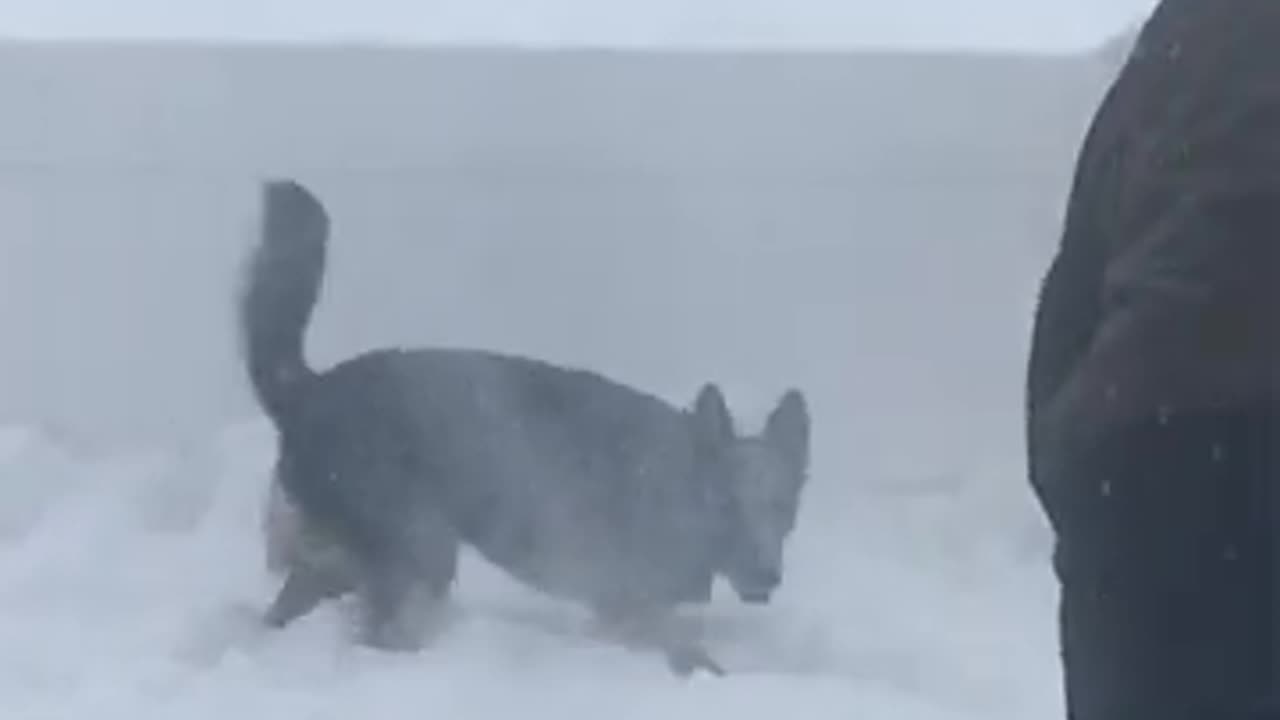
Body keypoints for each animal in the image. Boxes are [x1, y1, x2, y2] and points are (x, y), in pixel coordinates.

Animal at [240, 179, 808, 671]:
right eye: (726, 504)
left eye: (781, 507)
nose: (766, 574)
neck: (678, 486)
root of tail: (309, 390)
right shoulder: (627, 603)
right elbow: (687, 651)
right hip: (421, 551)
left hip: (338, 562)